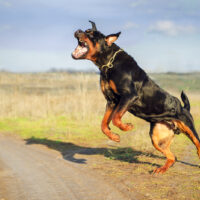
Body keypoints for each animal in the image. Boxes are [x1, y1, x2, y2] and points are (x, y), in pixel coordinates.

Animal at [72, 21, 200, 173]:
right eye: (85, 30)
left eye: (91, 33)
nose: (77, 30)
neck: (108, 63)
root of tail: (184, 108)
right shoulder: (111, 101)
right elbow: (103, 124)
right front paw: (114, 137)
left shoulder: (129, 96)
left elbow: (115, 118)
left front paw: (127, 127)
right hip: (157, 137)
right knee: (172, 157)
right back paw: (161, 169)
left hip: (188, 127)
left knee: (197, 145)